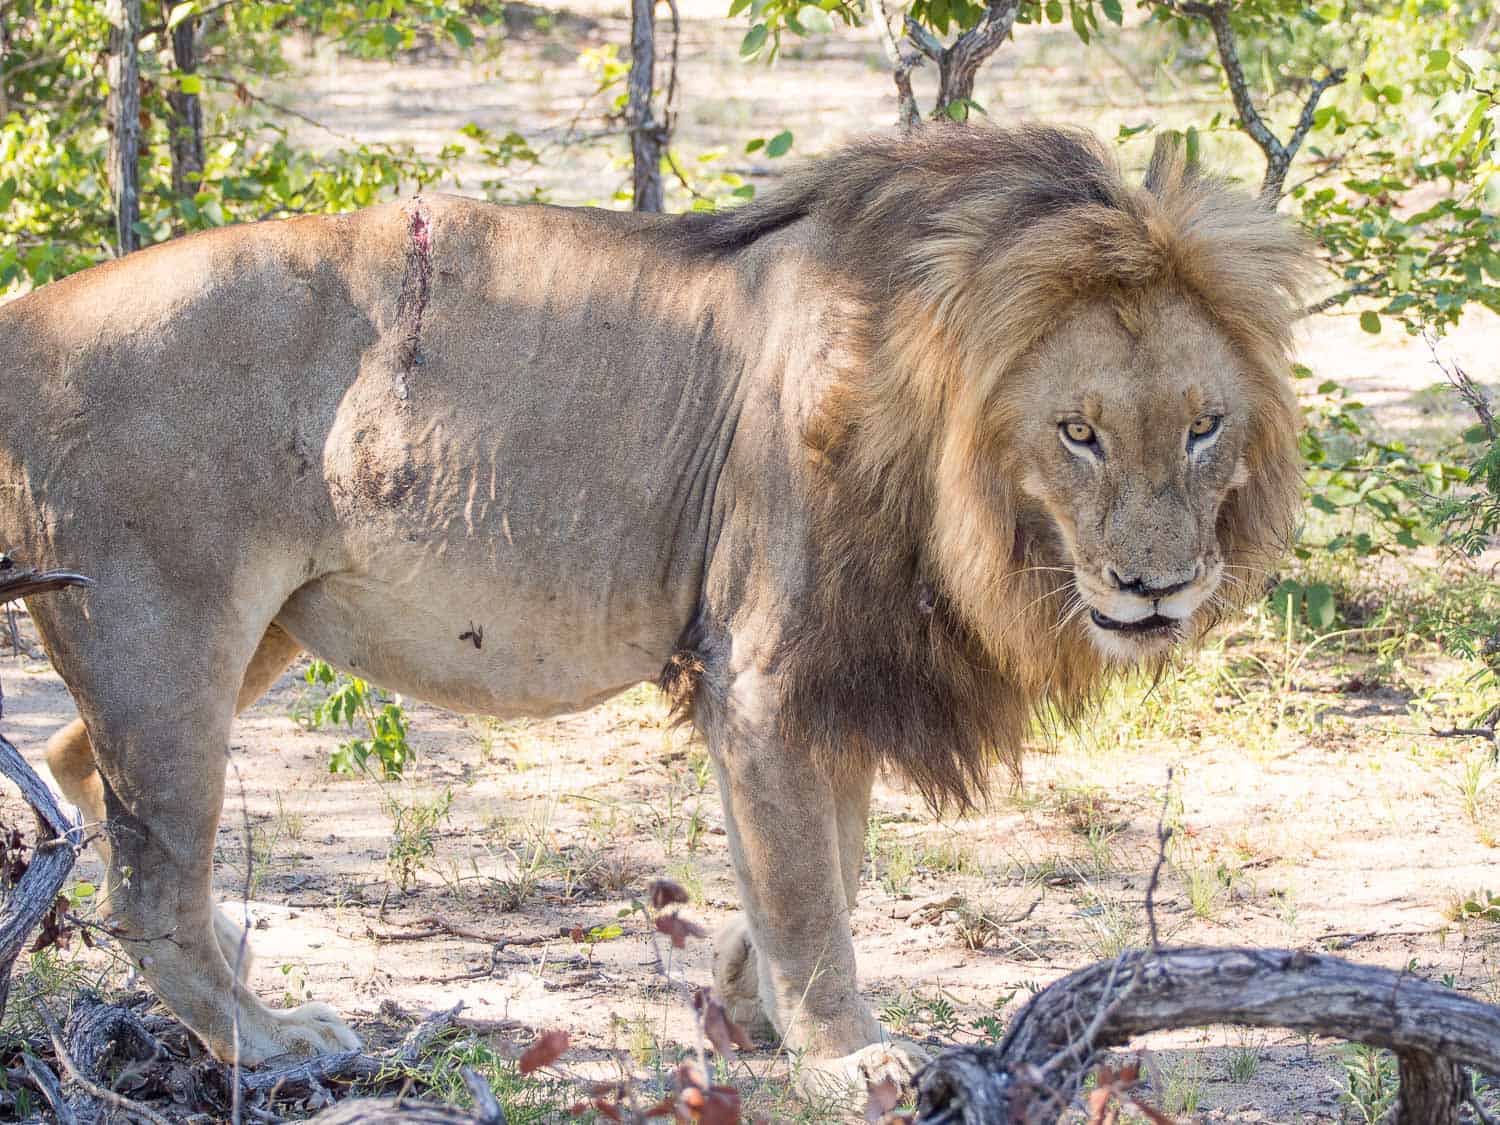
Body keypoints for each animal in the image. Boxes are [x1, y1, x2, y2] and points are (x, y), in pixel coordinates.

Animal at [0, 125, 1308, 1104]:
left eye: (1204, 426)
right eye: (1078, 433)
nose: (1157, 586)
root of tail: (31, 313)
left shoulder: (826, 672)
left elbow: (818, 864)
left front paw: (743, 998)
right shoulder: (770, 667)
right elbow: (808, 883)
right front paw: (847, 1055)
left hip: (246, 629)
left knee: (73, 773)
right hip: (164, 632)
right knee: (145, 890)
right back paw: (273, 1041)